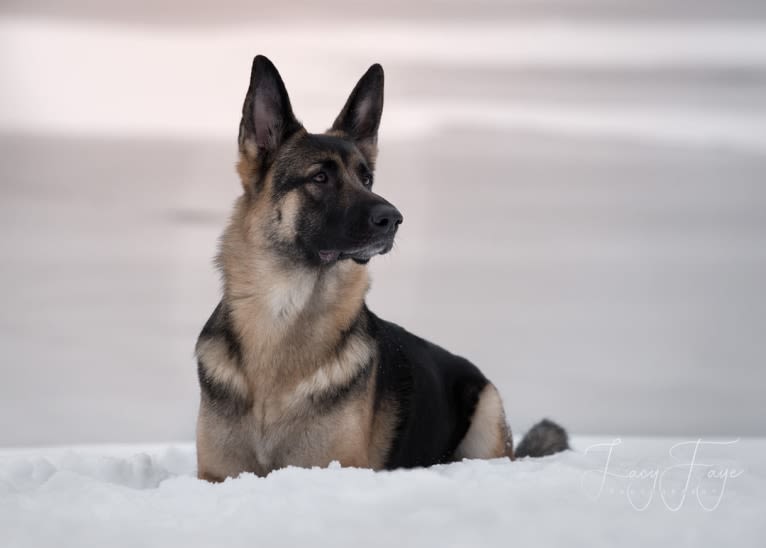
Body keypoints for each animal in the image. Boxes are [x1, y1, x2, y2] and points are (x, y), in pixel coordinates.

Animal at [195, 55, 568, 482]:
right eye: (320, 177)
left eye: (367, 178)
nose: (393, 219)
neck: (282, 319)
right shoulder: (215, 475)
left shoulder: (335, 467)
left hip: (486, 416)